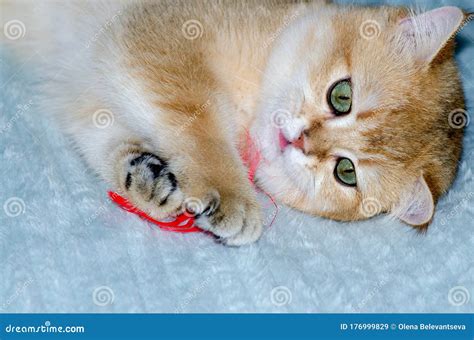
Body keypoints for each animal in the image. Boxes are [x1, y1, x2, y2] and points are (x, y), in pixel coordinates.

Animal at [2, 0, 470, 244]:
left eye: (346, 172)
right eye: (342, 96)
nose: (300, 141)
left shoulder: (87, 97)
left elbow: (106, 138)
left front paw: (148, 180)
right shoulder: (156, 42)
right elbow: (201, 124)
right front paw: (231, 194)